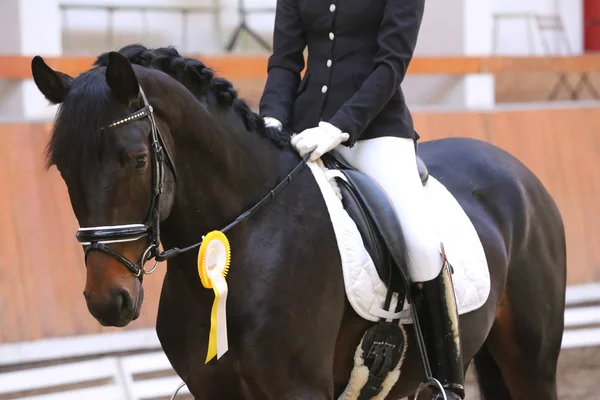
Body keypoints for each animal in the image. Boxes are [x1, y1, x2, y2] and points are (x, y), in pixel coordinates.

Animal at [30, 45, 568, 398]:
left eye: (137, 160)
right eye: (63, 167)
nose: (108, 300)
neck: (248, 236)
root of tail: (517, 172)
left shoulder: (297, 390)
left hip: (532, 364)